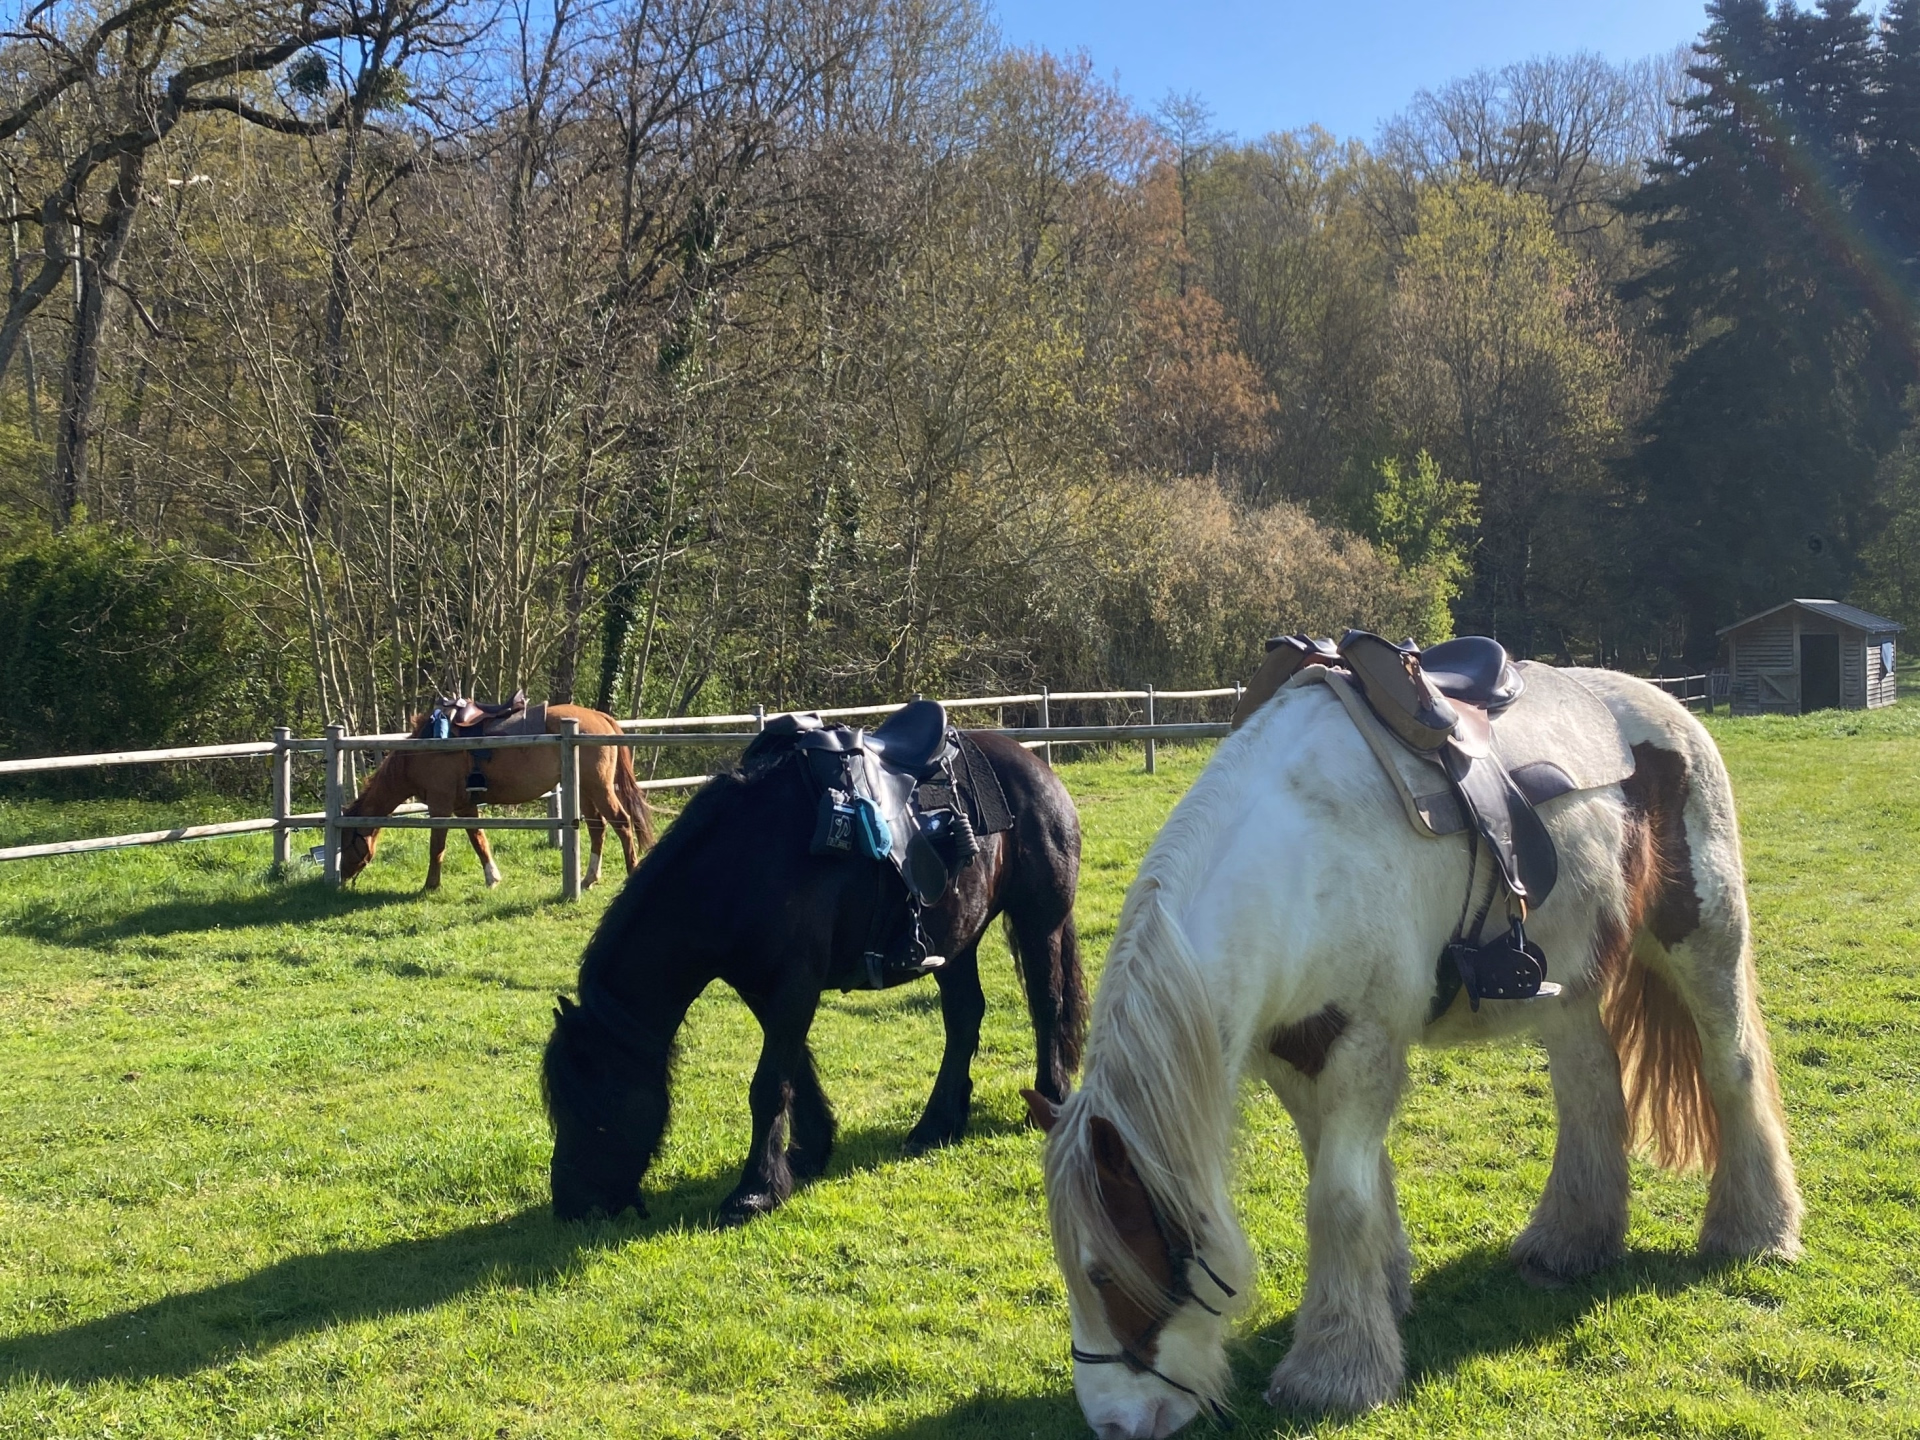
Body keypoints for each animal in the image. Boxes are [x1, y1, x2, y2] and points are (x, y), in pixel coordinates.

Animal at [338, 705, 654, 891]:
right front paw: (492, 878)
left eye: (346, 840)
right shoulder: (464, 806)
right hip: (586, 791)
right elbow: (479, 840)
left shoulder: (440, 806)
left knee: (622, 823)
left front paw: (430, 885)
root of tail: (601, 717)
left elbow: (437, 847)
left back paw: (630, 872)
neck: (424, 750)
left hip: (599, 788)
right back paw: (588, 879)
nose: (342, 877)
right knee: (598, 828)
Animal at [540, 728, 1086, 1226]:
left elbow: (769, 1084)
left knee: (1047, 1005)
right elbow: (794, 1071)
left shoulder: (794, 986)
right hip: (955, 943)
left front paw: (754, 1192)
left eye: (590, 1101)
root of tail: (1035, 767)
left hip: (1039, 922)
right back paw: (937, 1124)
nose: (570, 1204)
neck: (743, 864)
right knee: (964, 1018)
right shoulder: (763, 989)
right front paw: (809, 1151)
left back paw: (1048, 1100)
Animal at [1027, 669, 1802, 1438]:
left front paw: (1335, 1371)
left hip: (1702, 940)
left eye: (1107, 1274)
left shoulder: (1362, 1047)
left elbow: (1337, 1199)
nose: (1115, 1423)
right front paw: (1383, 1296)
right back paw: (1571, 1240)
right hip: (1570, 984)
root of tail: (1670, 707)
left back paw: (1754, 1230)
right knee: (1590, 1090)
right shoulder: (1296, 1054)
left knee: (1732, 1069)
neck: (1301, 855)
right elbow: (1357, 1181)